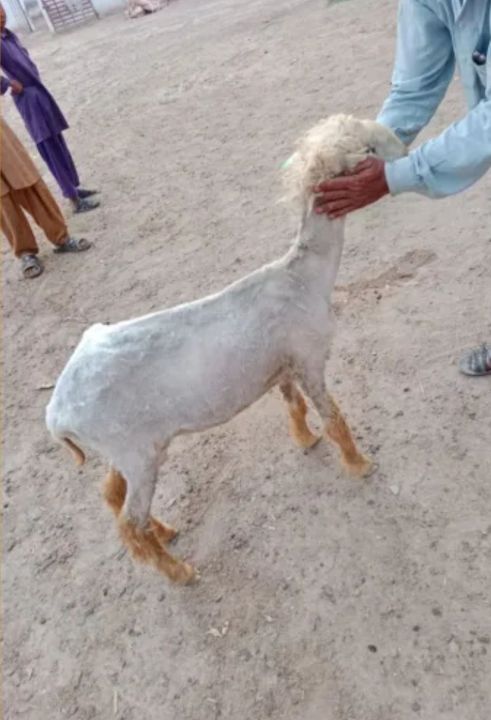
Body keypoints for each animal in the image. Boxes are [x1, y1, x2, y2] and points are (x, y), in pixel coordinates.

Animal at [46, 114, 406, 584]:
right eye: (369, 149)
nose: (405, 148)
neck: (303, 276)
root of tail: (56, 413)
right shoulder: (309, 358)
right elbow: (335, 418)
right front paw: (360, 464)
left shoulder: (282, 364)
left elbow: (293, 405)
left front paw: (306, 440)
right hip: (134, 451)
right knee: (129, 521)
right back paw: (178, 571)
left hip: (126, 449)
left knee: (111, 494)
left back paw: (166, 533)